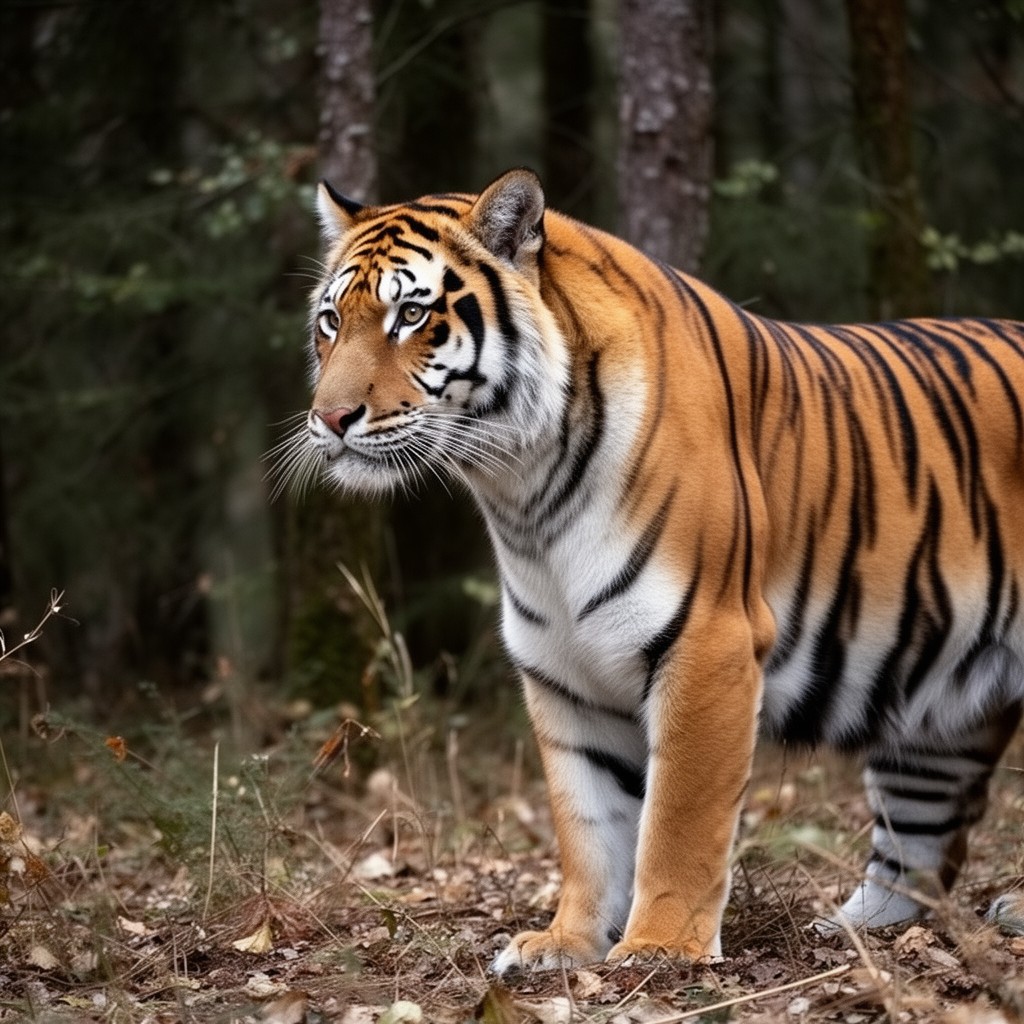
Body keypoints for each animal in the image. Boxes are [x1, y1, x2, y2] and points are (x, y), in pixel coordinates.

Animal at [284, 167, 1024, 972]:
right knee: (921, 844)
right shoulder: (561, 669)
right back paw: (855, 931)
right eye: (331, 322)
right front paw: (565, 943)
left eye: (412, 315)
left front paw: (660, 949)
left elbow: (679, 817)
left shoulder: (709, 643)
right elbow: (586, 824)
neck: (524, 492)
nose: (330, 419)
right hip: (938, 711)